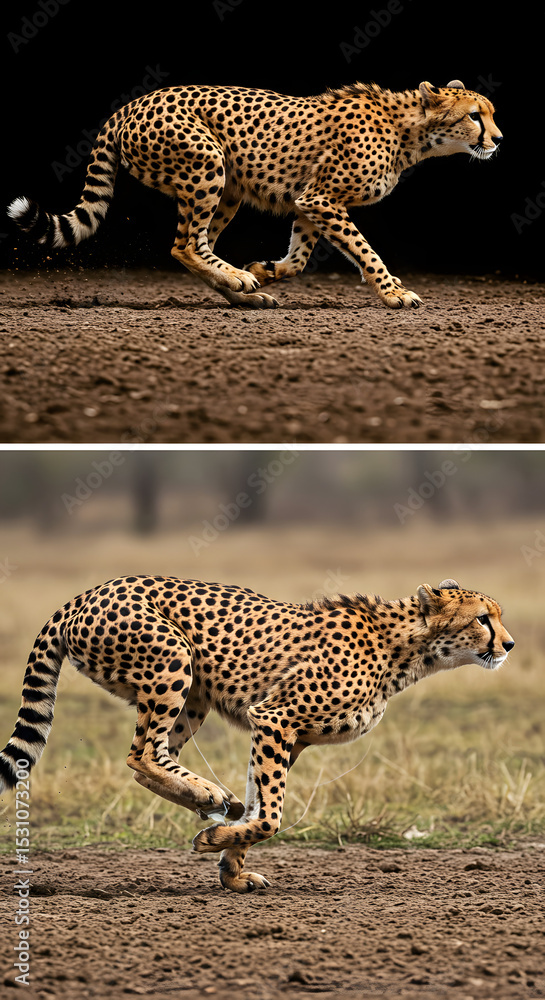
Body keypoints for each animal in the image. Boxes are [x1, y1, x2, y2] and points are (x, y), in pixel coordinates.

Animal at [0, 575, 513, 892]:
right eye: (482, 618)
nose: (509, 644)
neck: (406, 648)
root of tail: (87, 592)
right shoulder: (275, 717)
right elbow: (272, 816)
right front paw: (216, 843)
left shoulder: (288, 734)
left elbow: (259, 802)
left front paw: (231, 867)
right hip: (174, 661)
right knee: (141, 753)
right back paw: (209, 794)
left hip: (194, 696)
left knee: (147, 758)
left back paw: (209, 799)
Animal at [7, 78, 502, 311]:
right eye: (475, 115)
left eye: (490, 114)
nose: (498, 140)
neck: (410, 132)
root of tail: (130, 104)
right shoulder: (321, 199)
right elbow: (366, 251)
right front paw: (395, 293)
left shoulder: (310, 201)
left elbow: (300, 258)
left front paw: (265, 269)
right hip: (208, 164)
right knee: (185, 245)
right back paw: (239, 282)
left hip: (229, 188)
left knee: (195, 244)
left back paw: (244, 290)